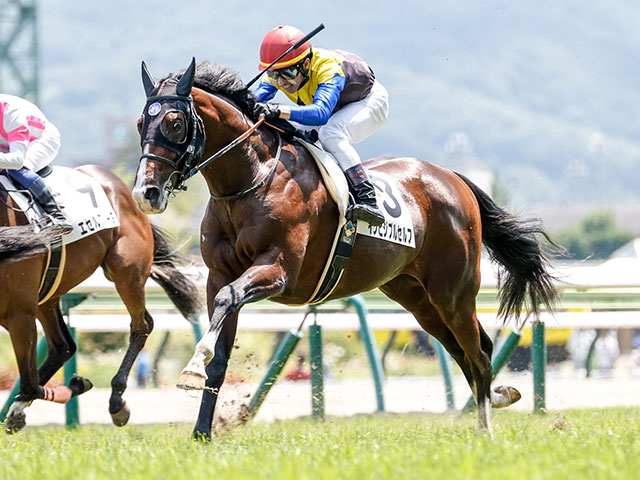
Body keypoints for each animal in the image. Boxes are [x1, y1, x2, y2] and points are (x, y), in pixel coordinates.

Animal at [0, 163, 201, 434]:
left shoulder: (19, 313)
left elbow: (30, 383)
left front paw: (78, 383)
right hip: (48, 293)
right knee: (63, 347)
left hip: (126, 272)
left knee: (141, 326)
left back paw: (115, 400)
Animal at [136, 59, 560, 438]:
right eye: (141, 123)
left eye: (175, 123)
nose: (146, 193)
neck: (250, 181)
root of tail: (452, 177)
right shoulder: (217, 275)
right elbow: (220, 349)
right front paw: (201, 432)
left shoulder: (279, 271)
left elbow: (229, 298)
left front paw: (192, 367)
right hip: (416, 296)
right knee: (463, 350)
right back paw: (499, 399)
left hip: (453, 291)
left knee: (478, 353)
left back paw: (487, 428)